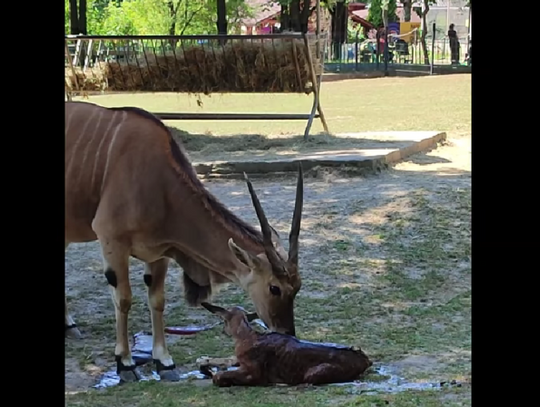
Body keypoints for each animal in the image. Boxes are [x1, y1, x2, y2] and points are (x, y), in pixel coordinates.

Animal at [64, 101, 304, 382]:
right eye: (274, 288)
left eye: (297, 287)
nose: (287, 333)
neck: (158, 180)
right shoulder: (112, 241)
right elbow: (123, 300)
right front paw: (125, 363)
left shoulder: (159, 252)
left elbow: (157, 300)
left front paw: (164, 362)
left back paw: (69, 325)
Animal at [200, 304, 374, 388]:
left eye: (223, 320)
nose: (223, 330)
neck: (246, 337)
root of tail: (367, 361)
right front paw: (205, 365)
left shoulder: (255, 373)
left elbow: (218, 377)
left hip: (313, 373)